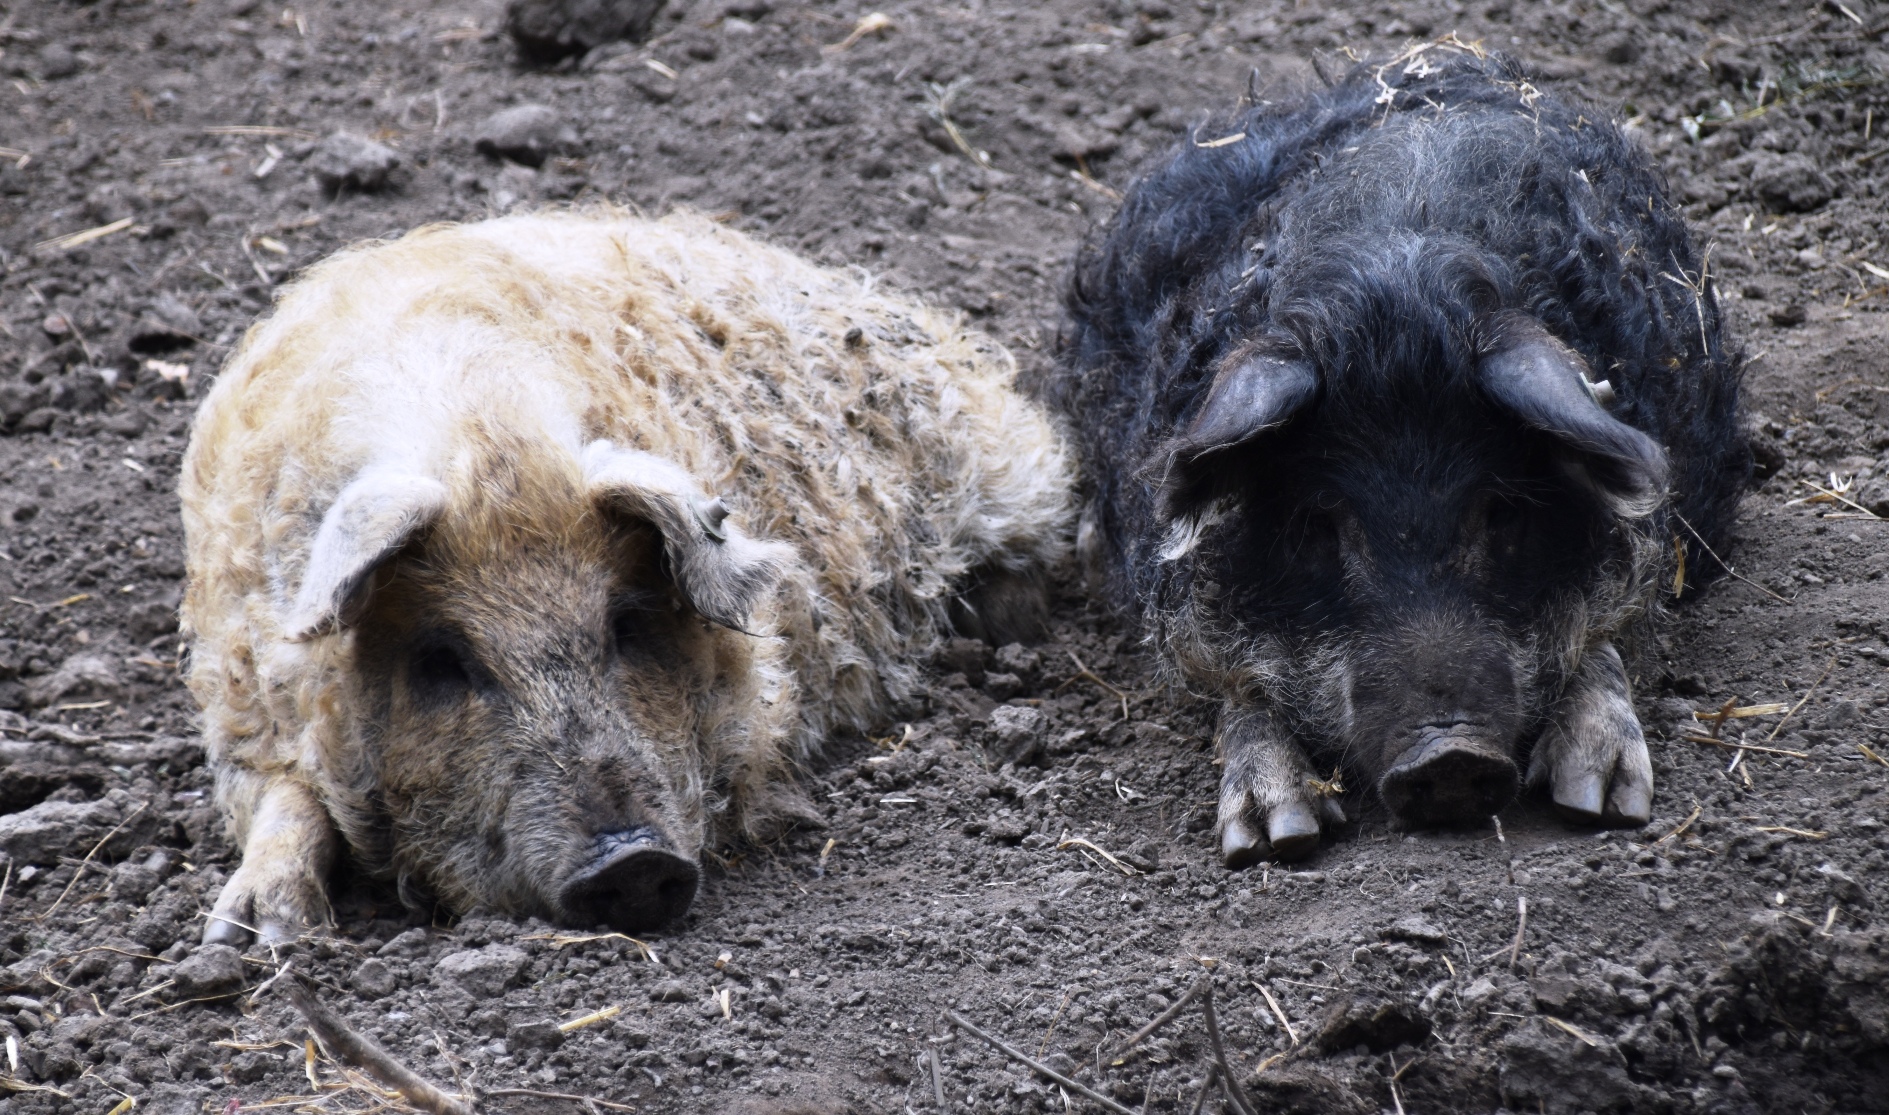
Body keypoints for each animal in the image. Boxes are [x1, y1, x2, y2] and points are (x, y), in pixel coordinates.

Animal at [181, 209, 1073, 943]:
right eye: (441, 659)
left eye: (628, 623)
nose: (633, 861)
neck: (477, 441)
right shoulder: (241, 699)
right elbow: (288, 795)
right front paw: (256, 940)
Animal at [1055, 47, 1748, 866]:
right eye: (1317, 525)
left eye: (1500, 512)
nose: (1448, 757)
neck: (1396, 290)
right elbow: (1234, 682)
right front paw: (1272, 836)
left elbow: (1608, 631)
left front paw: (1601, 801)